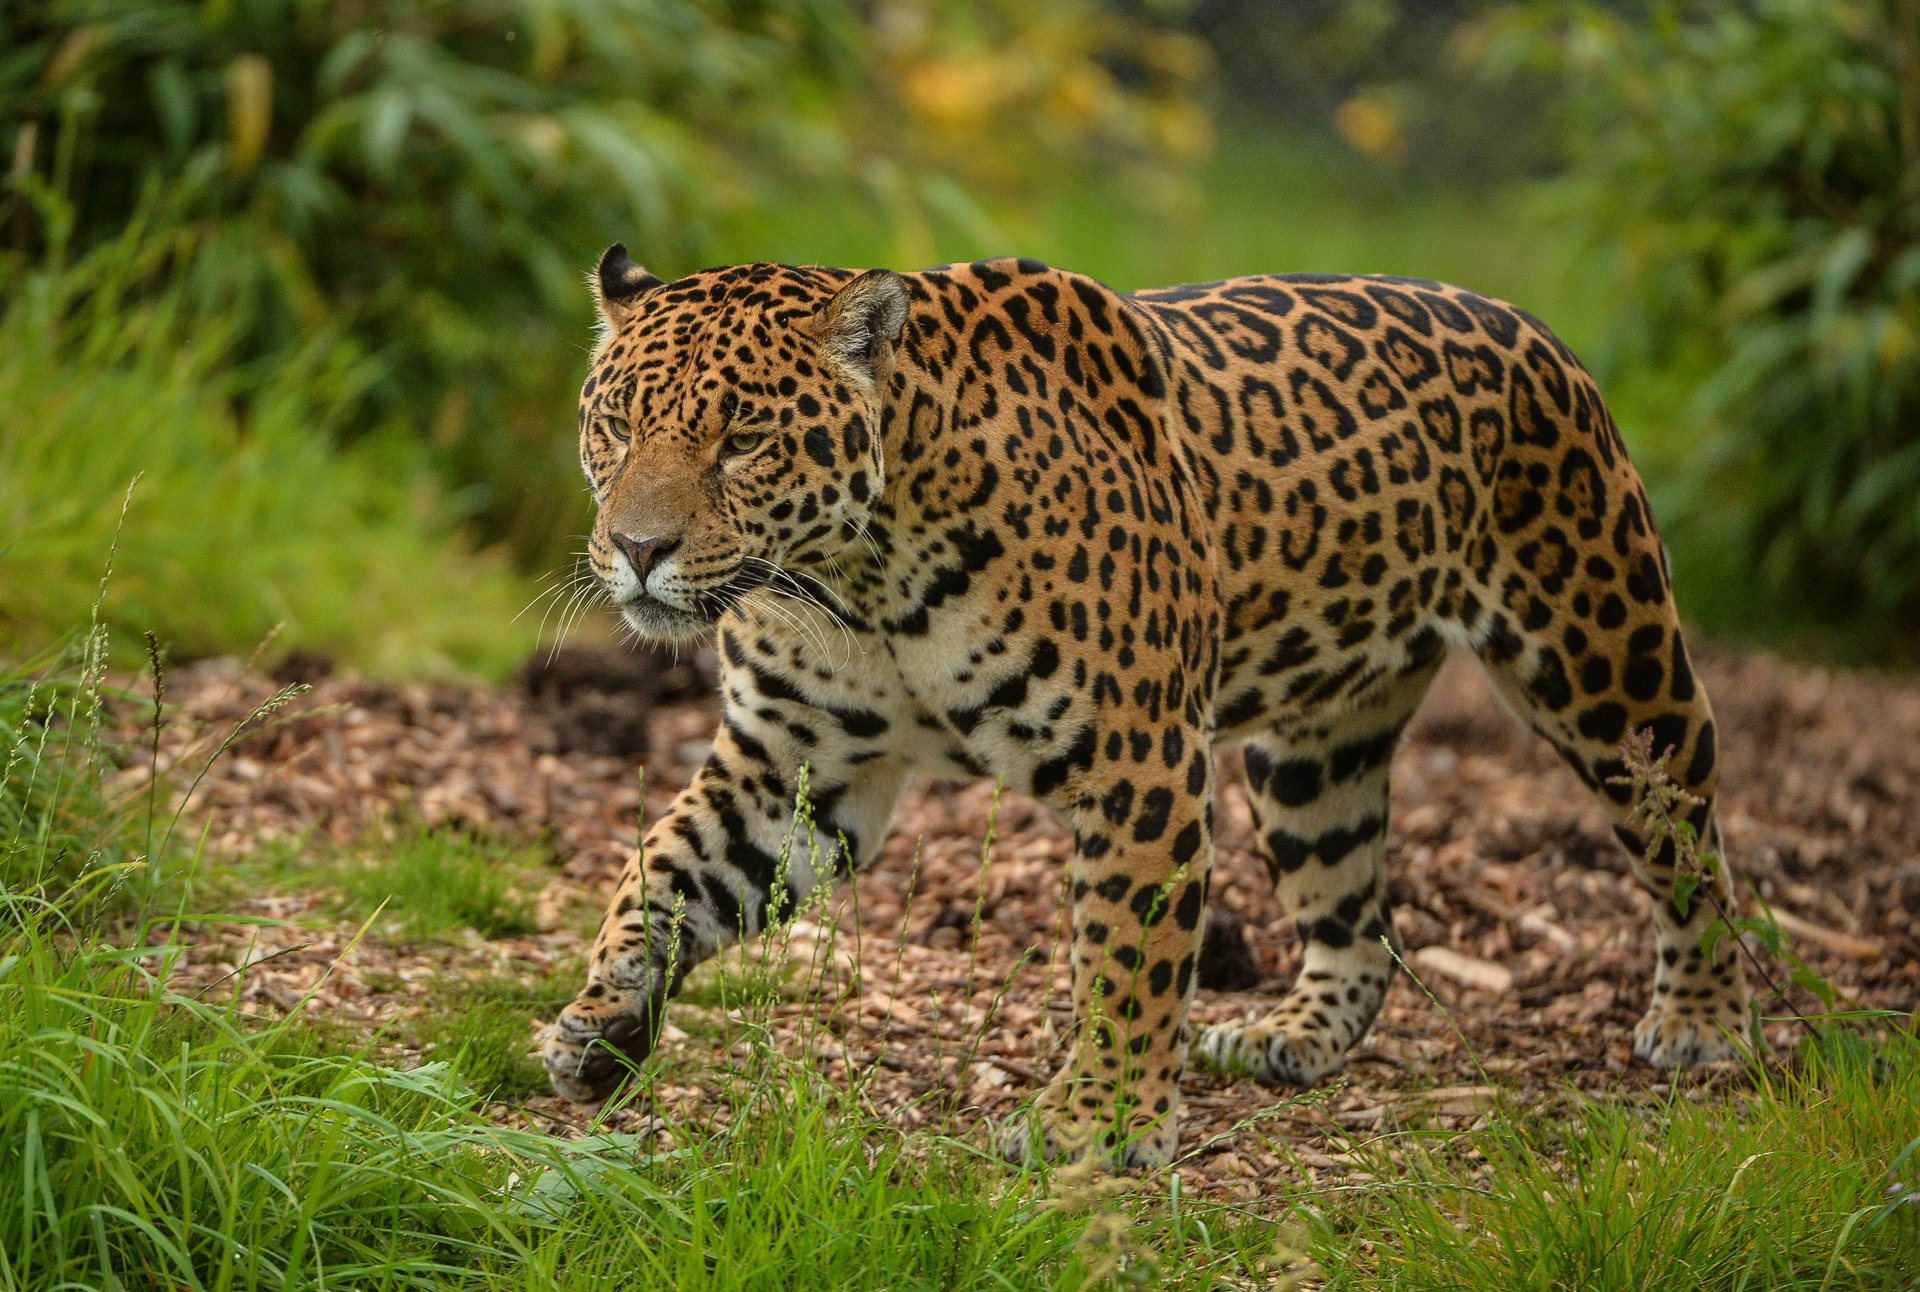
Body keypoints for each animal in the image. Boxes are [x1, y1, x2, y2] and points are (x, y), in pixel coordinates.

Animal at [542, 245, 1748, 1167]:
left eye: (742, 440)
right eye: (616, 426)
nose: (637, 551)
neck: (859, 578)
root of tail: (1525, 324)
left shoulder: (1141, 761)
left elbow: (1130, 950)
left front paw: (1100, 1124)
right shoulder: (796, 765)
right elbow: (661, 868)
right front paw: (603, 1019)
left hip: (1610, 663)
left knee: (1688, 844)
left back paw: (1703, 1024)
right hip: (1312, 754)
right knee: (1356, 915)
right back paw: (1292, 1035)